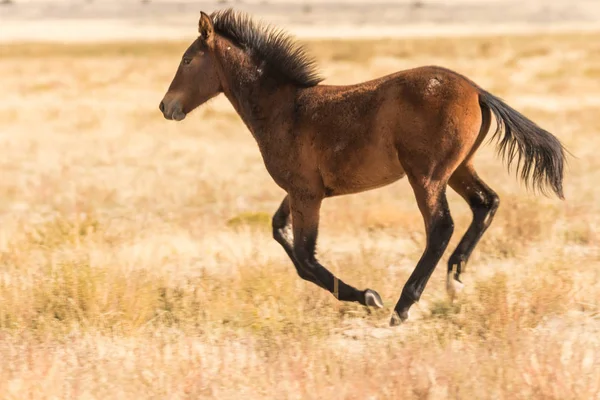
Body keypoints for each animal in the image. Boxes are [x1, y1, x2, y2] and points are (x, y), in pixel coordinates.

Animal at [157, 9, 564, 326]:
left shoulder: (307, 194)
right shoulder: (301, 191)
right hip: (460, 168)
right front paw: (366, 295)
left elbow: (305, 258)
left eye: (187, 60)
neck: (285, 109)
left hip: (427, 176)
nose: (166, 106)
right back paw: (455, 279)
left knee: (440, 227)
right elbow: (280, 233)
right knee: (486, 203)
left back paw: (403, 306)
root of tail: (477, 90)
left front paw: (369, 296)